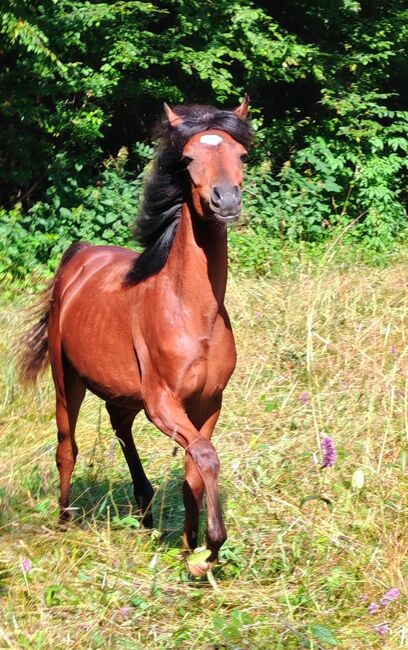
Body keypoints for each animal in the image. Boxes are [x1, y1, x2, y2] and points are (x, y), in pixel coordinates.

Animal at [18, 96, 252, 576]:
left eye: (241, 155)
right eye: (188, 159)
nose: (225, 200)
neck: (191, 313)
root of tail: (80, 255)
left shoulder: (209, 403)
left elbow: (194, 472)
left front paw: (189, 551)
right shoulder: (163, 404)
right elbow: (205, 456)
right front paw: (210, 548)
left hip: (122, 392)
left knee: (120, 427)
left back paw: (144, 507)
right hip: (66, 381)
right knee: (66, 448)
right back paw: (65, 522)